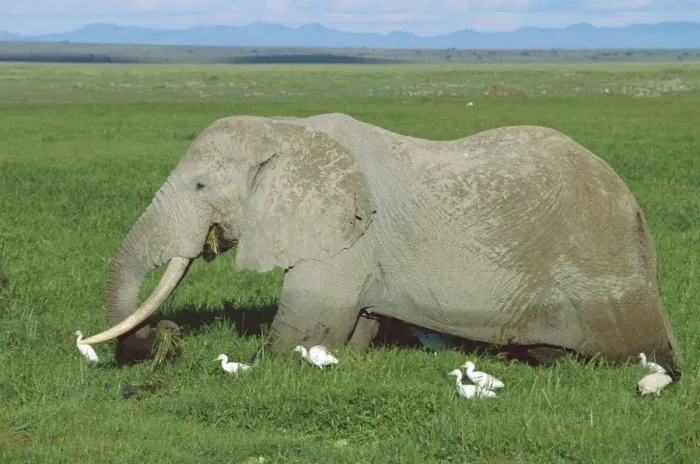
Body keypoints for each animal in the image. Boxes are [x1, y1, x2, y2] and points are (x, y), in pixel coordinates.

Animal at [79, 112, 685, 373]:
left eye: (201, 187)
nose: (166, 334)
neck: (287, 128)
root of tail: (637, 214)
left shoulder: (347, 237)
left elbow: (305, 328)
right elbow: (353, 327)